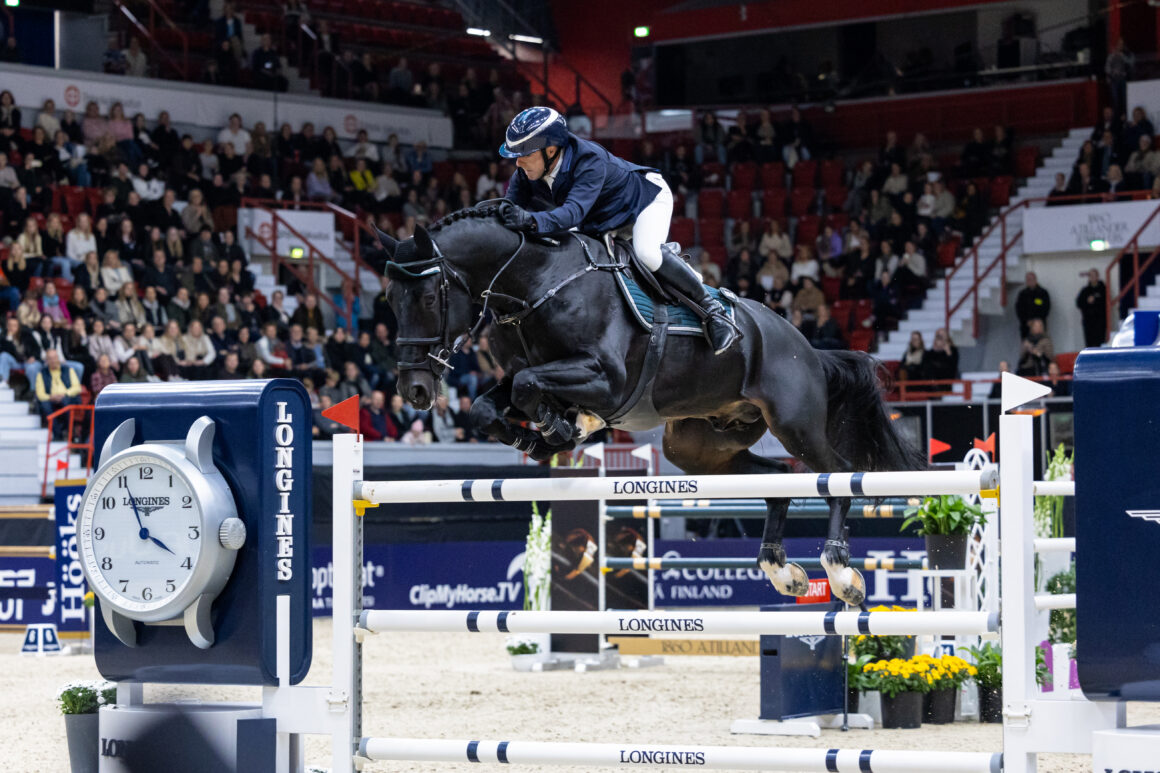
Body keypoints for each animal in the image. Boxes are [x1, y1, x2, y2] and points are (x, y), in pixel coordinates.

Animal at [375, 203, 928, 603]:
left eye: (428, 298)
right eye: (388, 300)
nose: (414, 390)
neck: (536, 282)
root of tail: (806, 345)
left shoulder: (606, 378)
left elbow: (529, 387)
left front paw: (567, 426)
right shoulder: (521, 375)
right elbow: (491, 405)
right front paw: (546, 435)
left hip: (796, 425)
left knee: (837, 476)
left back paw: (841, 571)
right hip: (700, 447)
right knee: (778, 479)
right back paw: (780, 570)